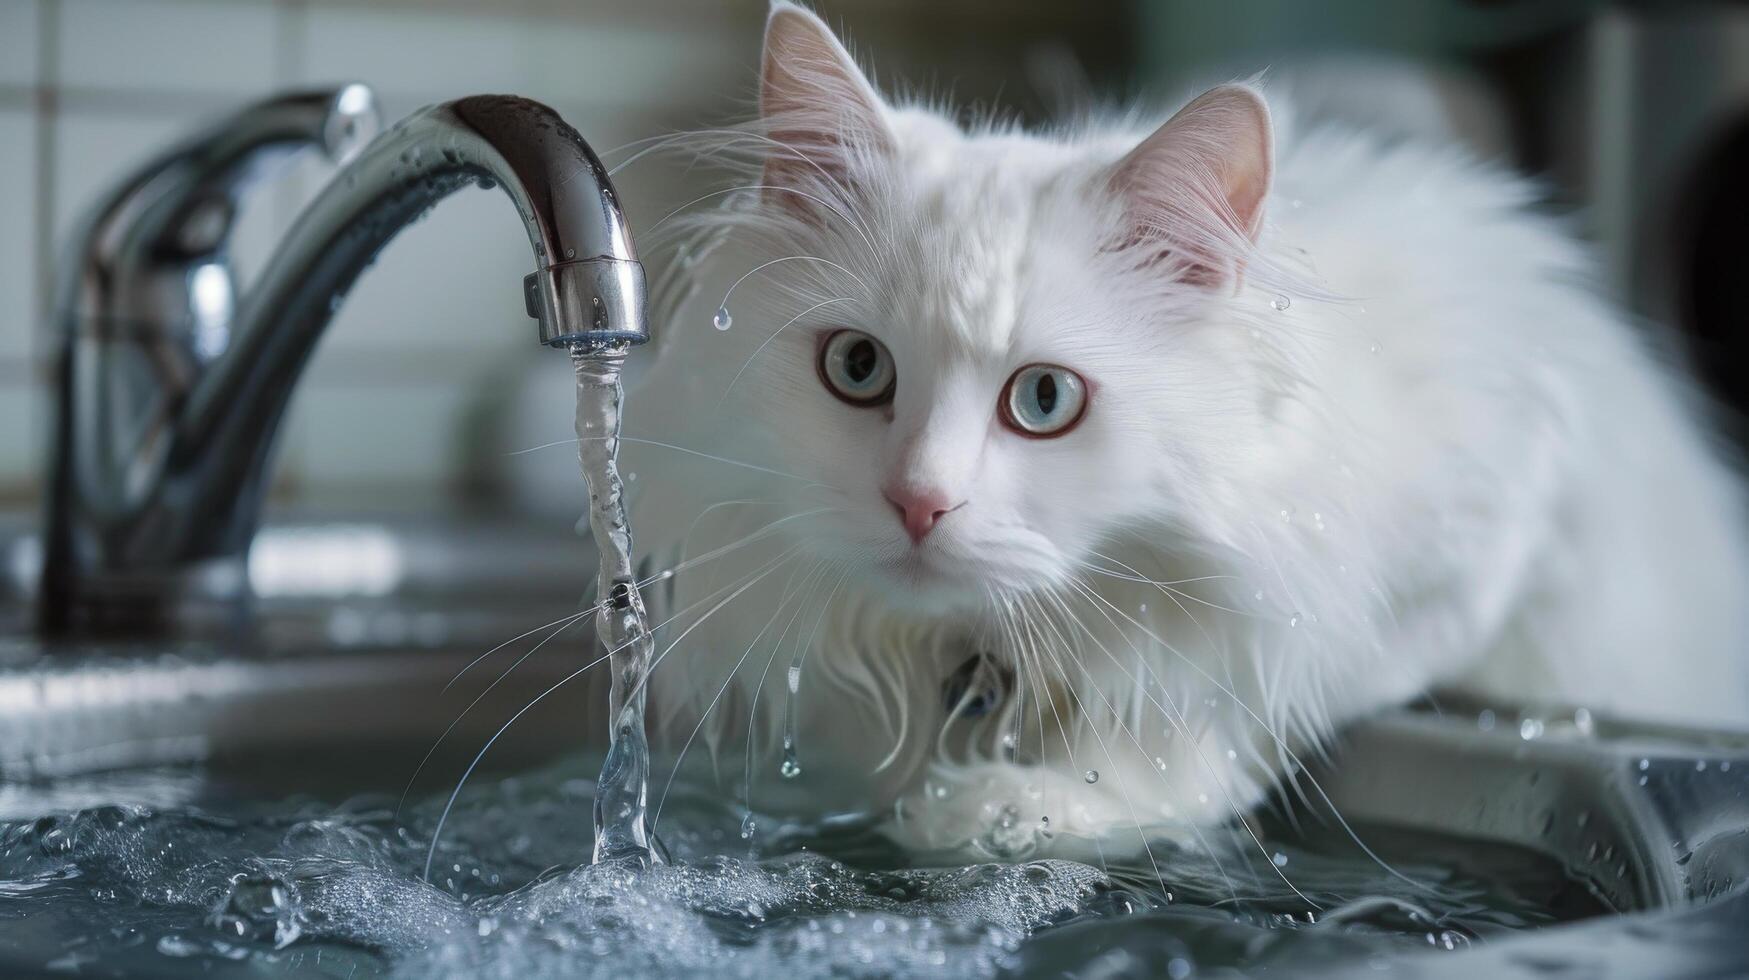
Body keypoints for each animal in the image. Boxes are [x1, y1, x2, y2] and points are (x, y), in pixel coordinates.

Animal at [629, 1, 1749, 857]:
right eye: (858, 369)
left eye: (1044, 399)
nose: (918, 501)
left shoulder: (1487, 530)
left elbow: (1212, 712)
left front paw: (1020, 805)